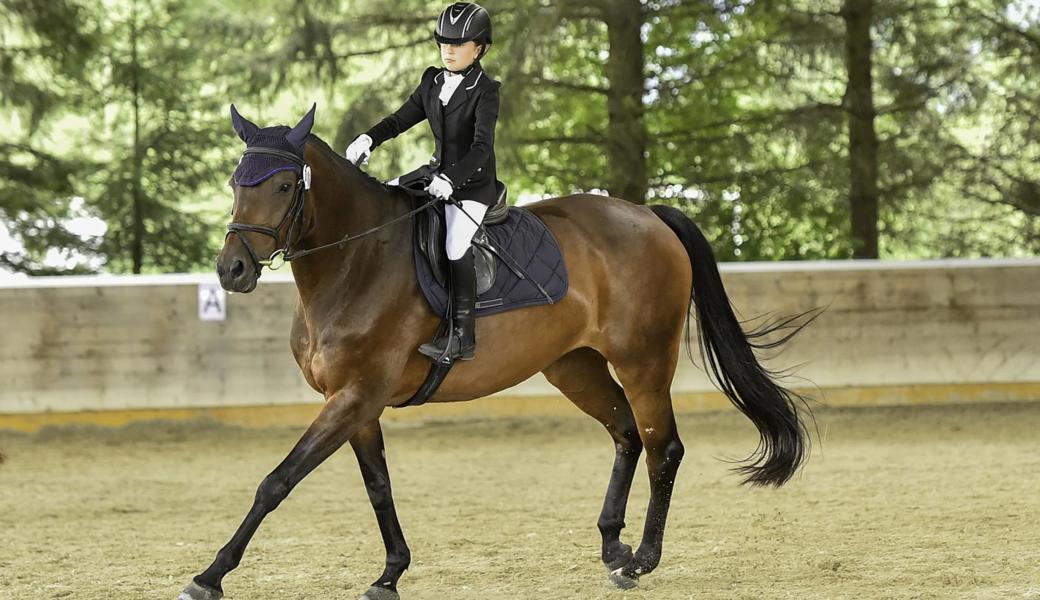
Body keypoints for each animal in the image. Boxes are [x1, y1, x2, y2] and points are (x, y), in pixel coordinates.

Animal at [176, 107, 811, 598]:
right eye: (236, 182)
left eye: (284, 187)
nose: (232, 271)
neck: (355, 262)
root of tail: (647, 214)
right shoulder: (356, 403)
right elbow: (379, 488)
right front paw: (390, 574)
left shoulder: (355, 396)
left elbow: (276, 481)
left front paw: (210, 576)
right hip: (573, 366)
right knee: (627, 434)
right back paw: (612, 544)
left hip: (644, 362)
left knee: (664, 449)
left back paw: (641, 562)